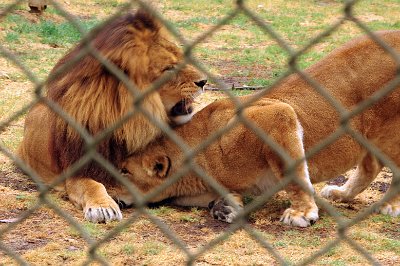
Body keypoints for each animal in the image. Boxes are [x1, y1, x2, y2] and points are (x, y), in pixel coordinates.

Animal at [18, 9, 206, 222]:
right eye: (169, 68)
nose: (204, 81)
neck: (126, 126)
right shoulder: (77, 169)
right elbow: (92, 185)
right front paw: (102, 207)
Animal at [117, 30, 398, 227]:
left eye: (124, 172)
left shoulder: (277, 115)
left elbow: (294, 175)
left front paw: (301, 213)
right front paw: (225, 208)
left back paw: (390, 206)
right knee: (371, 165)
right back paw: (341, 193)